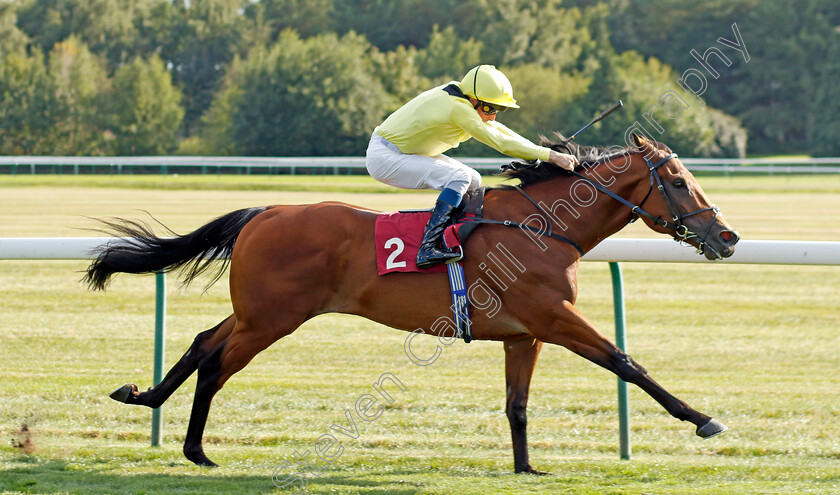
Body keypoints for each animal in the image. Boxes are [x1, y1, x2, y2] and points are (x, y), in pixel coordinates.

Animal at [85, 134, 740, 474]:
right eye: (677, 182)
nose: (727, 236)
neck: (544, 226)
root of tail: (264, 212)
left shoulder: (523, 333)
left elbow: (517, 406)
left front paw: (525, 467)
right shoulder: (555, 318)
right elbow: (627, 363)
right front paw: (702, 418)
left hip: (254, 313)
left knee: (202, 344)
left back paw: (143, 397)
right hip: (272, 319)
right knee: (217, 365)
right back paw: (195, 449)